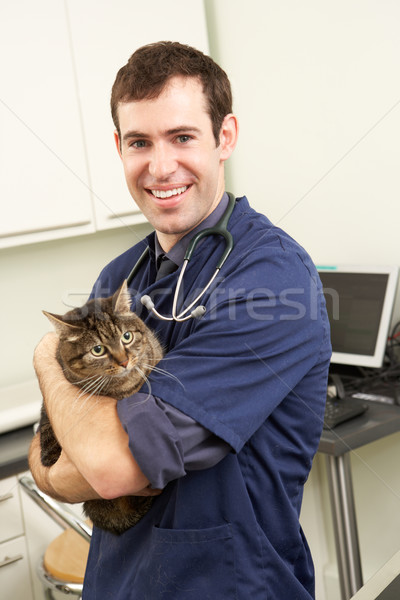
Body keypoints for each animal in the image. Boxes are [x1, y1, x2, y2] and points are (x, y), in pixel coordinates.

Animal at [37, 280, 162, 536]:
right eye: (98, 350)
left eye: (126, 337)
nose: (124, 361)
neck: (118, 390)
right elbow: (46, 424)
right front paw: (50, 454)